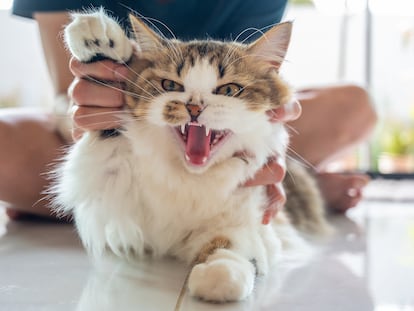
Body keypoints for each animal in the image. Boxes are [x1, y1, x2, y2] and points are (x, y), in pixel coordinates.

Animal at [51, 10, 328, 304]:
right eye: (170, 85)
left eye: (228, 90)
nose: (194, 107)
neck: (190, 178)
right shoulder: (110, 176)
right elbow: (107, 123)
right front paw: (97, 34)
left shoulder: (249, 222)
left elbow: (234, 248)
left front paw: (219, 274)